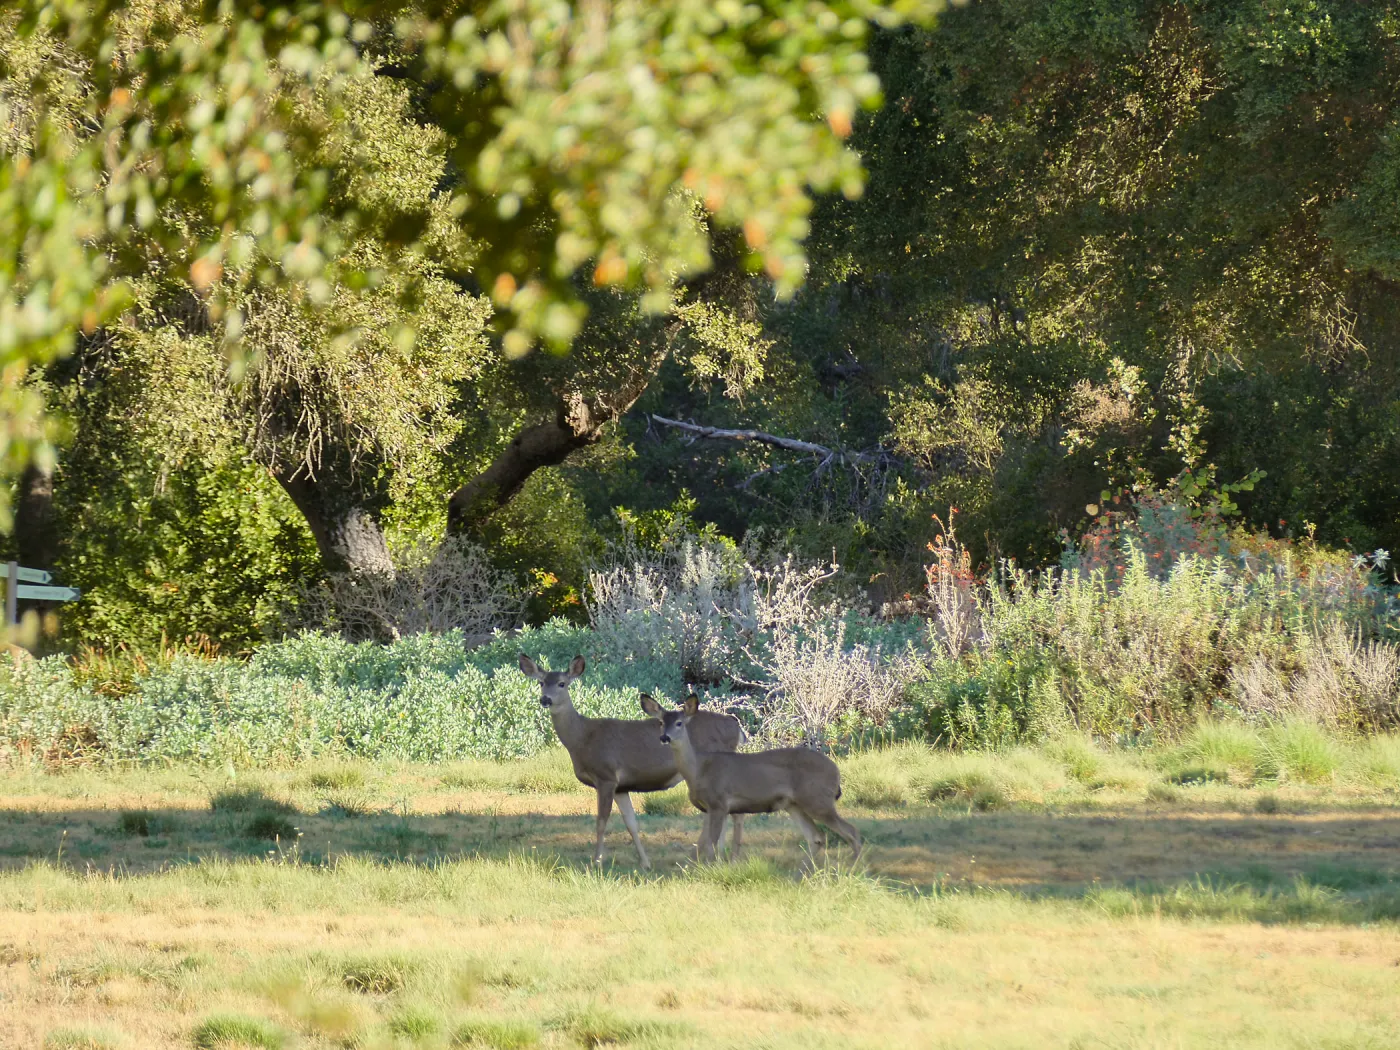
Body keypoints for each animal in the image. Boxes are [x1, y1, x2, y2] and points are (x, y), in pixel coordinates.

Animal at [517, 654, 744, 869]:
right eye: (541, 682)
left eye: (562, 683)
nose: (545, 699)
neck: (582, 738)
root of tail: (737, 728)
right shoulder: (621, 787)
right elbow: (631, 823)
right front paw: (645, 863)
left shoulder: (606, 775)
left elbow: (601, 821)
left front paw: (596, 862)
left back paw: (721, 858)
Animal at [655, 693, 861, 867]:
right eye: (661, 722)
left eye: (679, 723)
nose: (664, 737)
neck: (698, 770)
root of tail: (836, 771)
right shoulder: (714, 808)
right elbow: (710, 843)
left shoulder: (718, 803)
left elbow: (711, 844)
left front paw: (708, 870)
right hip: (794, 804)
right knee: (817, 837)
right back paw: (803, 872)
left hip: (818, 799)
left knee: (850, 832)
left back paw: (852, 868)